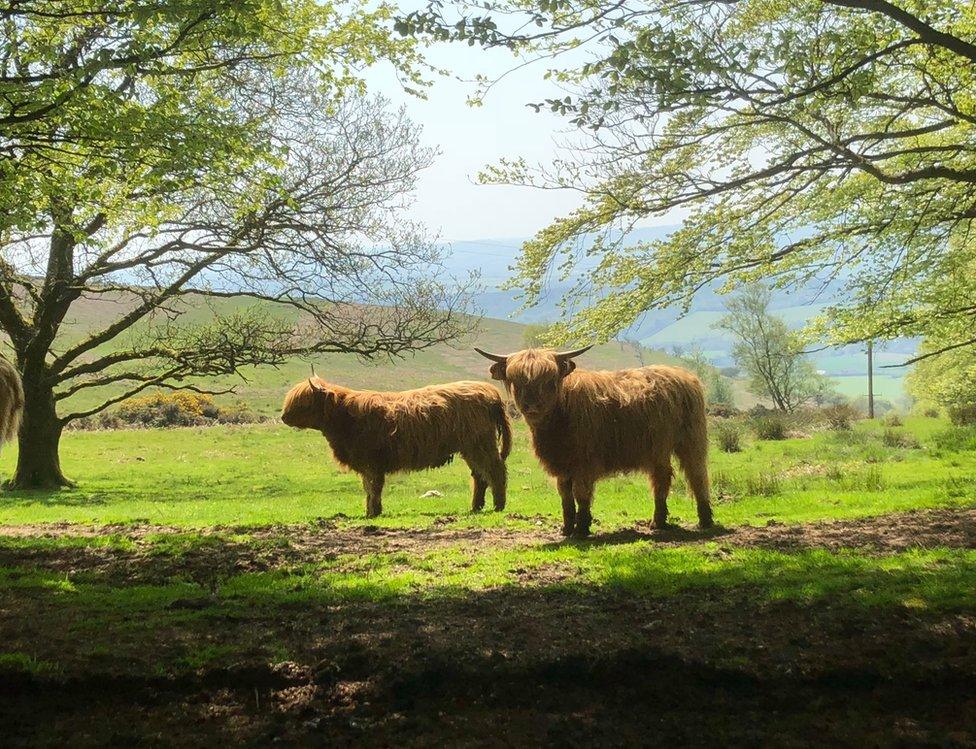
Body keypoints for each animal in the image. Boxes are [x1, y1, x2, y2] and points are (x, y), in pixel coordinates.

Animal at [280, 376, 510, 516]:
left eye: (303, 402)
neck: (344, 416)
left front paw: (373, 512)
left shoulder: (372, 462)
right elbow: (368, 488)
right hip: (471, 448)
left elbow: (373, 487)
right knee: (480, 475)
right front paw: (370, 511)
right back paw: (475, 507)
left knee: (494, 470)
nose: (283, 417)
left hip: (480, 444)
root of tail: (491, 393)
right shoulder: (367, 464)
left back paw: (498, 505)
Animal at [472, 348, 708, 536]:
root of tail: (684, 375)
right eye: (516, 381)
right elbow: (566, 496)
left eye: (549, 381)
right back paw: (658, 522)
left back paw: (705, 520)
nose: (531, 406)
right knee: (661, 478)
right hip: (657, 449)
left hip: (691, 439)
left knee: (697, 475)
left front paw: (582, 529)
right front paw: (567, 528)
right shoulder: (562, 466)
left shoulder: (584, 463)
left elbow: (581, 494)